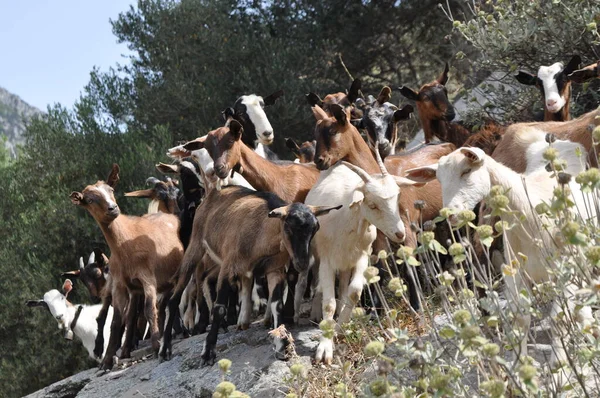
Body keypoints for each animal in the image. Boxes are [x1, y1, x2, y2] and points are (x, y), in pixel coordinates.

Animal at [70, 163, 183, 368]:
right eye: (89, 199)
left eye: (111, 190)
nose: (112, 208)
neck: (126, 242)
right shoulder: (120, 286)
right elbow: (116, 321)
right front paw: (107, 360)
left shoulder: (148, 279)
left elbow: (149, 309)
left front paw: (156, 344)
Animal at [159, 184, 340, 364]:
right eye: (288, 227)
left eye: (315, 228)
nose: (302, 263)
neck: (261, 235)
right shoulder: (228, 267)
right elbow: (220, 308)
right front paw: (208, 352)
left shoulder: (275, 270)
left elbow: (277, 305)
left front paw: (282, 346)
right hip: (196, 246)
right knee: (175, 297)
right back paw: (165, 349)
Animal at [304, 159, 418, 364]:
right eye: (372, 205)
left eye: (397, 198)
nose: (400, 233)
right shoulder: (327, 260)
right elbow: (329, 303)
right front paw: (324, 348)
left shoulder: (362, 257)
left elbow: (355, 292)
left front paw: (340, 328)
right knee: (318, 283)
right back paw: (317, 313)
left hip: (346, 261)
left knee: (343, 286)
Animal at [406, 141, 592, 370]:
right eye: (438, 179)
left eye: (466, 171)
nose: (450, 214)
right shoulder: (515, 274)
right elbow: (520, 318)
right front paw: (520, 367)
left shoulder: (566, 273)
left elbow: (559, 319)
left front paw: (560, 367)